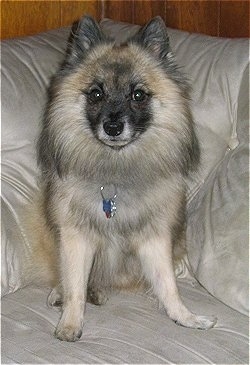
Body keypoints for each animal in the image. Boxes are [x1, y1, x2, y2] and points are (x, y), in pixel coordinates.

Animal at [26, 15, 217, 342]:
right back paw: (62, 294)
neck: (116, 171)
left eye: (137, 95)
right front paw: (70, 323)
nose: (113, 127)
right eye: (96, 94)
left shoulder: (155, 238)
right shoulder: (75, 236)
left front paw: (185, 317)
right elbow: (75, 286)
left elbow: (168, 285)